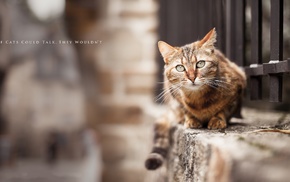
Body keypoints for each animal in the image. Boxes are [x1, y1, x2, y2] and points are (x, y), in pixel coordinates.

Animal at [145, 27, 247, 170]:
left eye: (200, 64)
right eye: (180, 67)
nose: (192, 77)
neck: (198, 100)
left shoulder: (238, 86)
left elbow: (224, 109)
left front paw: (217, 119)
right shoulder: (173, 93)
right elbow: (185, 109)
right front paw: (191, 119)